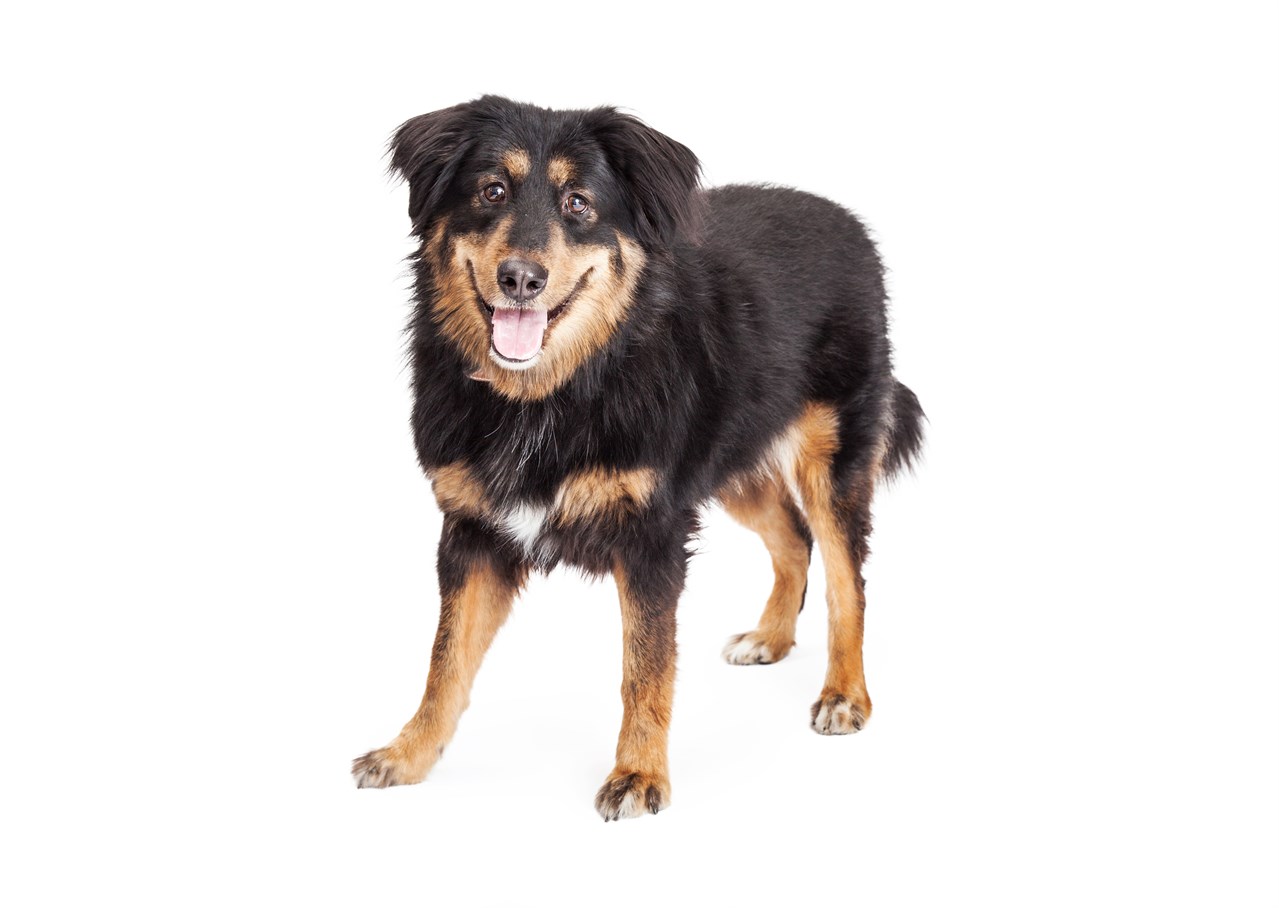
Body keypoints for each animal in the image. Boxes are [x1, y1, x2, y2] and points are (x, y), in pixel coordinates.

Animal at [355, 95, 925, 823]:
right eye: (491, 191)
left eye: (577, 203)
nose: (520, 279)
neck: (554, 391)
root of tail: (849, 223)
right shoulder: (472, 535)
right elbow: (444, 662)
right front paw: (409, 755)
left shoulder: (651, 534)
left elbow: (644, 669)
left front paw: (638, 775)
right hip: (730, 464)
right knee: (794, 538)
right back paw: (769, 638)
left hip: (831, 461)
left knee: (845, 579)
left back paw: (845, 694)